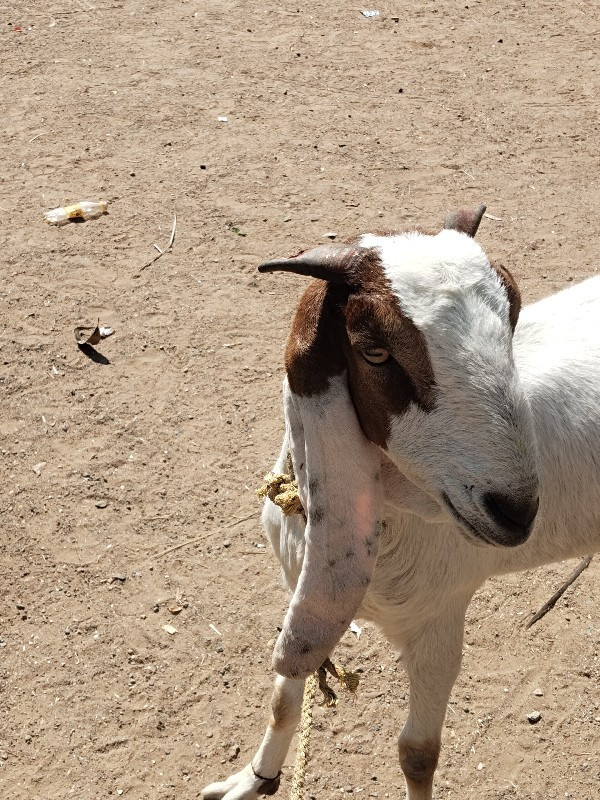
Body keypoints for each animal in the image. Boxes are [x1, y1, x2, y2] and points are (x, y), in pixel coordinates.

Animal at [202, 206, 600, 800]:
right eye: (375, 351)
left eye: (513, 316)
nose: (516, 509)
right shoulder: (300, 590)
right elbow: (282, 697)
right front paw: (252, 779)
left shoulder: (439, 618)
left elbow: (417, 754)